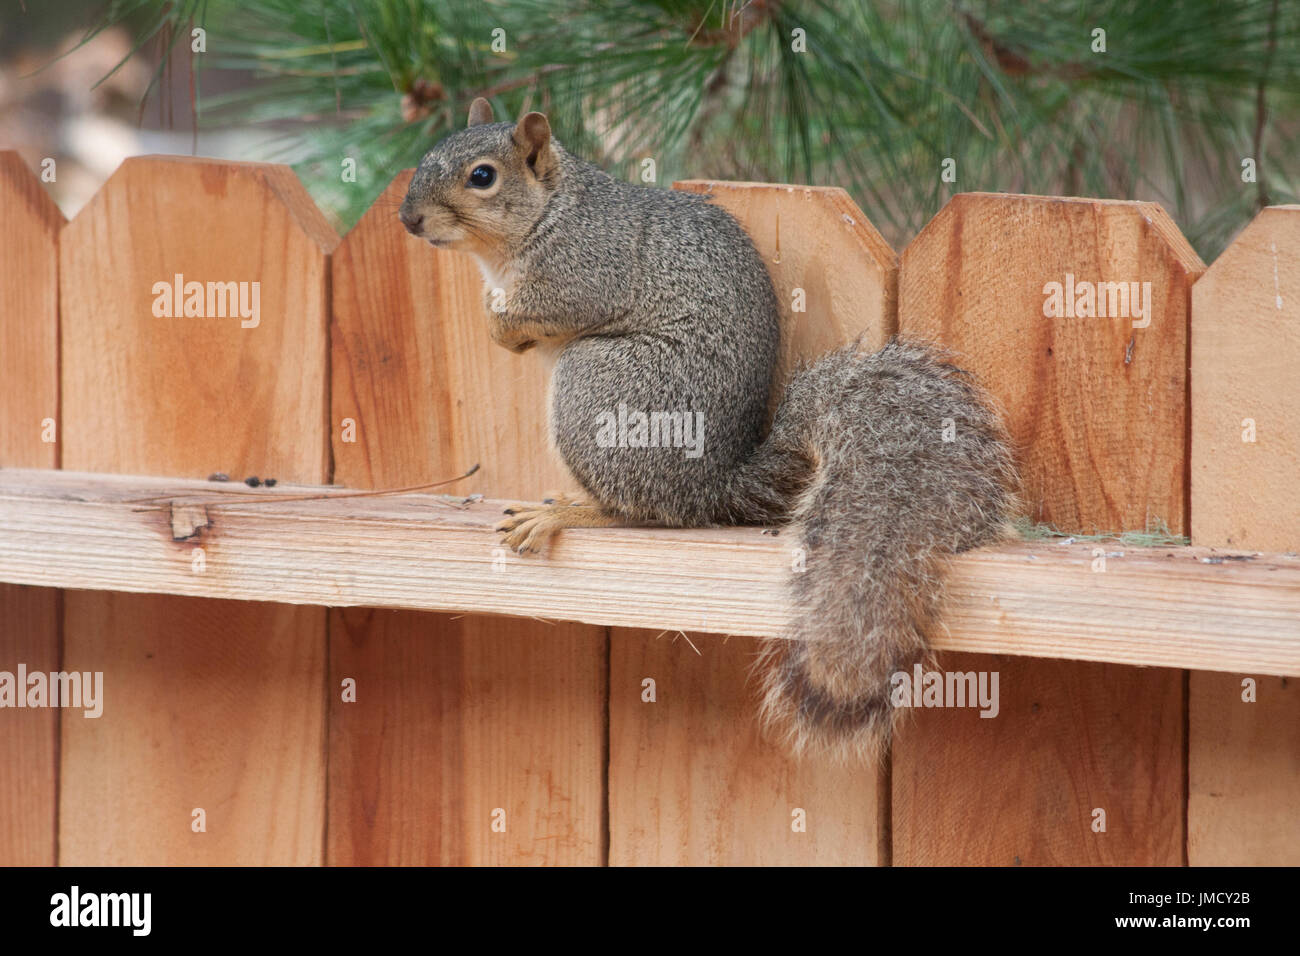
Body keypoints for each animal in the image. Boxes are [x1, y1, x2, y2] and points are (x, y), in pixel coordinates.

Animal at [400, 100, 1019, 764]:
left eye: (482, 176)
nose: (408, 218)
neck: (548, 213)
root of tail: (712, 483)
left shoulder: (586, 267)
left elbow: (552, 307)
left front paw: (501, 324)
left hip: (599, 387)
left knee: (640, 510)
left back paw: (567, 513)